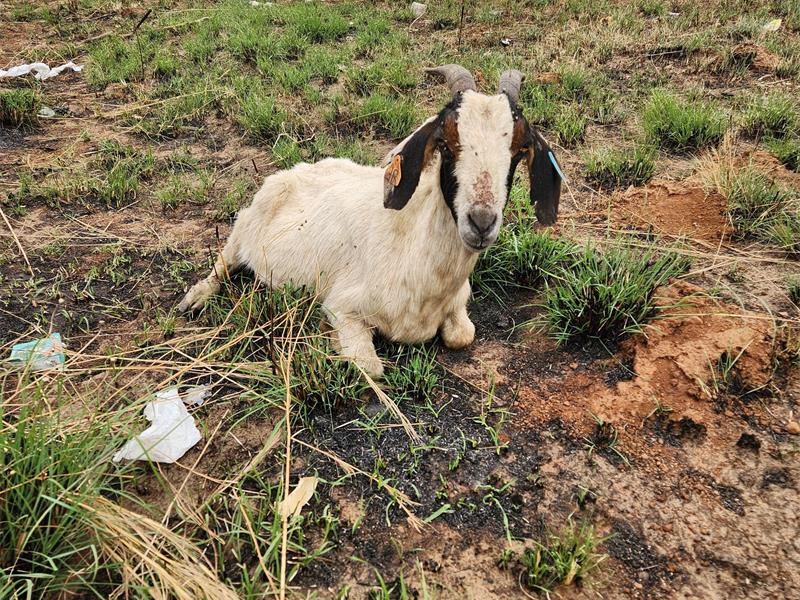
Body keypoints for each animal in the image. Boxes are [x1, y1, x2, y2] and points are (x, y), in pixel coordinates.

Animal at [178, 65, 562, 376]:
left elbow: (463, 335)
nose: (481, 222)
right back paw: (194, 299)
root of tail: (295, 170)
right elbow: (370, 366)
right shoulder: (341, 306)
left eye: (518, 151)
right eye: (446, 144)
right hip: (246, 225)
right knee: (224, 261)